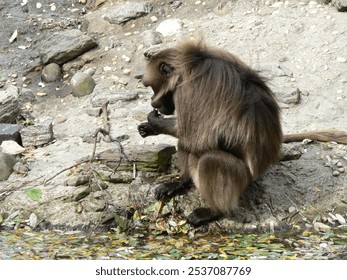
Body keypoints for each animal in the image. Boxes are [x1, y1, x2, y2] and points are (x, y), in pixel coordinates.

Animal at [137, 40, 347, 228]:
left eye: (151, 87)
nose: (153, 102)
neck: (191, 64)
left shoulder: (190, 91)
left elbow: (198, 135)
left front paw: (153, 122)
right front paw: (148, 128)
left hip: (243, 177)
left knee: (207, 155)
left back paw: (214, 211)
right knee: (189, 142)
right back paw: (181, 182)